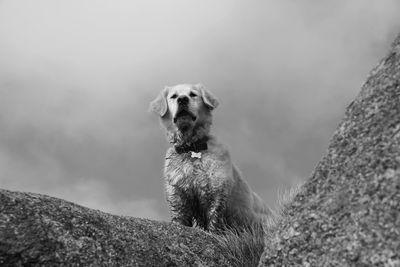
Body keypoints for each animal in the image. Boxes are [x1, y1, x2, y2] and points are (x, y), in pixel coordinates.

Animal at [150, 85, 272, 233]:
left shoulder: (216, 191)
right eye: (173, 96)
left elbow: (214, 219)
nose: (182, 99)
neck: (192, 148)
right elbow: (180, 219)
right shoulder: (177, 194)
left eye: (193, 94)